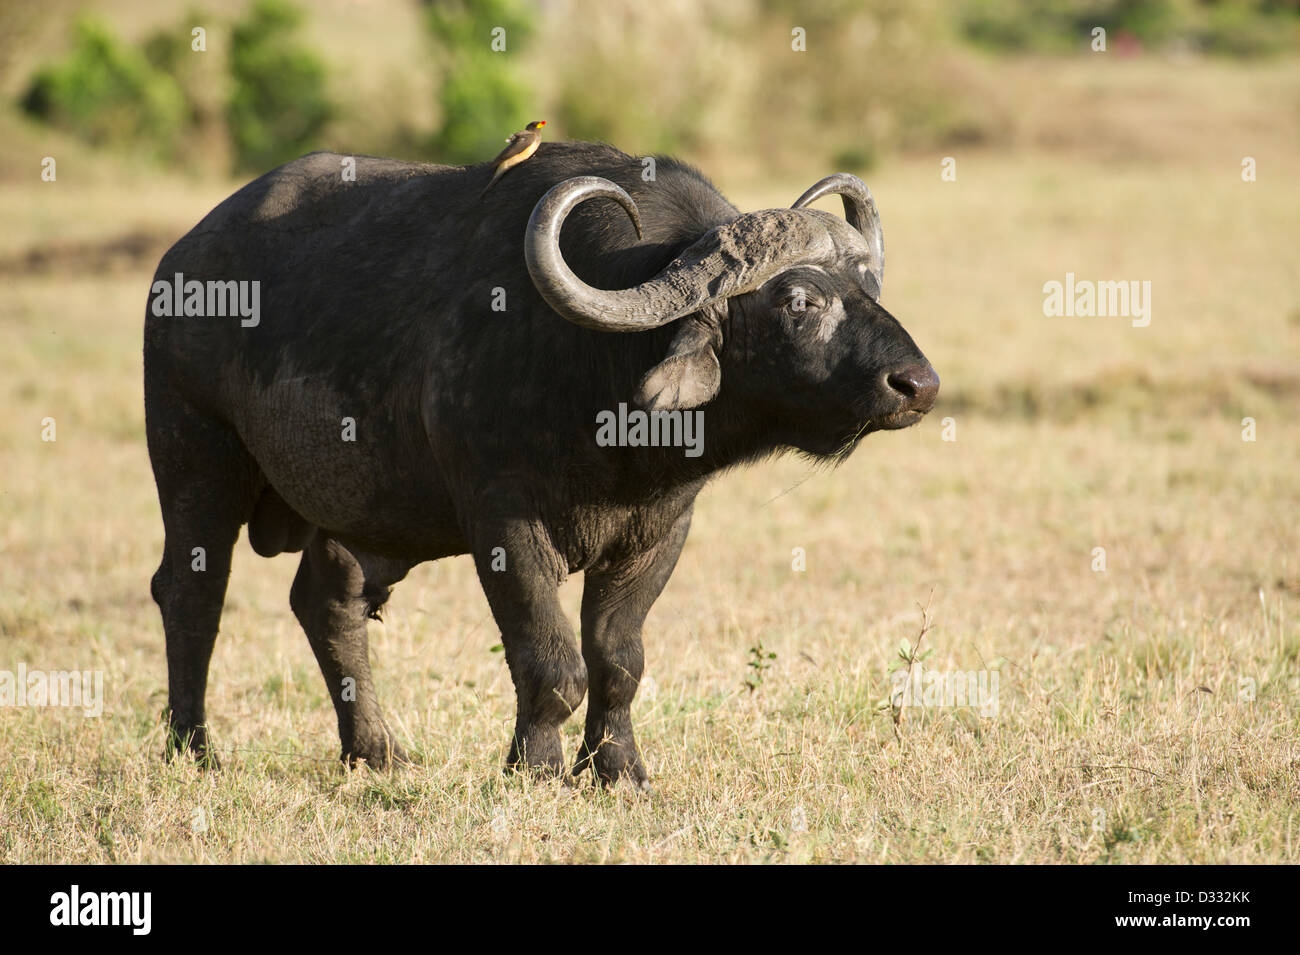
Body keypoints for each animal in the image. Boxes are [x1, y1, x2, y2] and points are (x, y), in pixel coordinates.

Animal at [145, 141, 938, 787]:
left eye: (869, 290)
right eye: (799, 300)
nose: (917, 385)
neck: (600, 377)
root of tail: (180, 262)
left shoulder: (659, 531)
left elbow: (618, 660)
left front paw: (618, 770)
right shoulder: (504, 524)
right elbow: (549, 657)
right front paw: (536, 769)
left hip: (368, 513)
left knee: (327, 597)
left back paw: (375, 752)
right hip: (195, 459)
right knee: (191, 595)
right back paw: (195, 750)